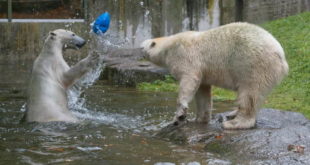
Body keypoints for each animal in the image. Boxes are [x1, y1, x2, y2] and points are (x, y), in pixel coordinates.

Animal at [140, 22, 288, 130]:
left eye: (141, 47)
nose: (139, 51)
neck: (168, 46)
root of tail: (282, 58)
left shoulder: (185, 56)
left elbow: (189, 80)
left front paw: (179, 116)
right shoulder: (203, 73)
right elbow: (202, 91)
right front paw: (199, 119)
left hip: (253, 65)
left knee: (249, 94)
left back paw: (234, 123)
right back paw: (232, 114)